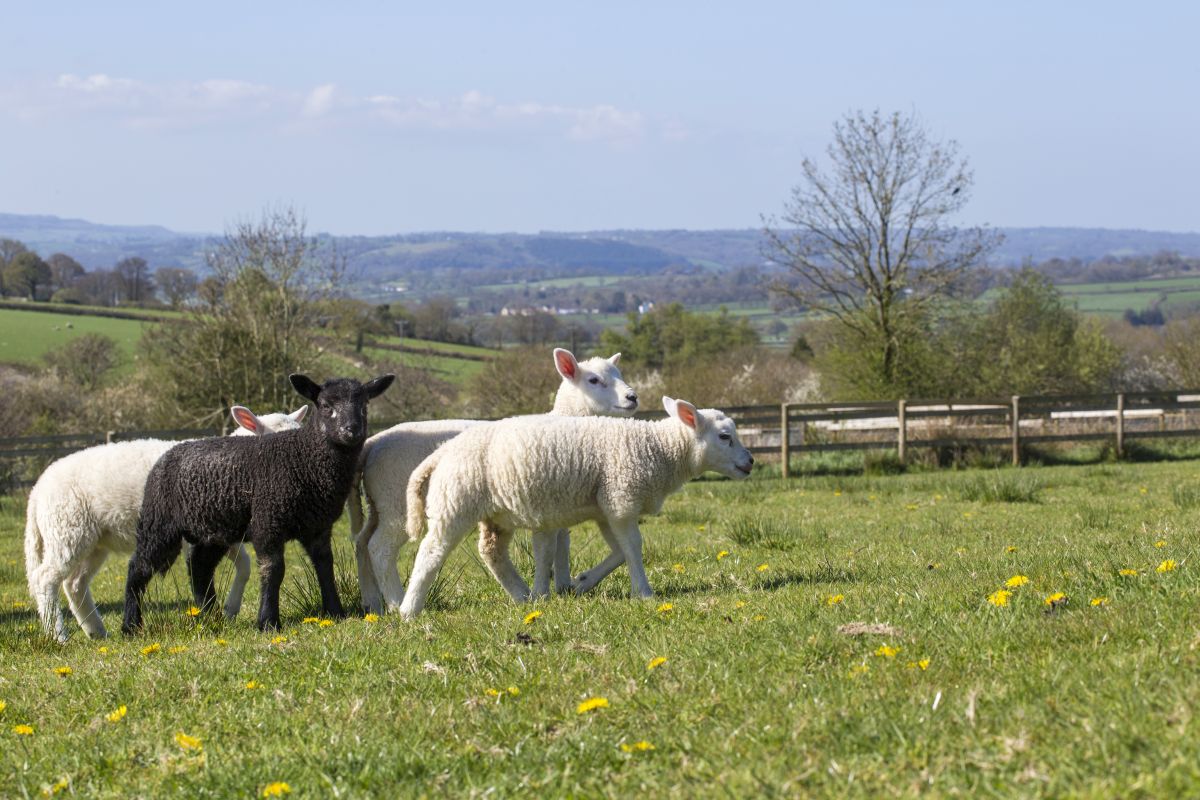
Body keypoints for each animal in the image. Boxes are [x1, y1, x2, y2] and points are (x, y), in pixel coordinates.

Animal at [24, 402, 307, 642]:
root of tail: (37, 491)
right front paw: (221, 611)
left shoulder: (222, 529)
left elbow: (245, 565)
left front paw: (230, 608)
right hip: (68, 530)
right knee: (45, 579)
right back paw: (59, 636)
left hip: (93, 541)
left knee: (74, 584)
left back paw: (96, 631)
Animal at [123, 371, 393, 633]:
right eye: (326, 405)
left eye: (364, 405)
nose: (351, 430)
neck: (304, 459)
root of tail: (169, 453)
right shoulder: (267, 521)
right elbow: (273, 570)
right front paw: (268, 622)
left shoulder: (319, 527)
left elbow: (325, 566)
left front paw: (335, 612)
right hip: (159, 522)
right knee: (139, 567)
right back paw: (131, 625)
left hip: (214, 530)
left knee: (199, 567)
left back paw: (210, 618)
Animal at [350, 347, 643, 614]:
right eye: (594, 380)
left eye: (619, 374)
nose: (633, 397)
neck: (565, 418)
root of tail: (374, 443)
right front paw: (576, 583)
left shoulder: (561, 500)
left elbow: (564, 542)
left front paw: (565, 585)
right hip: (398, 502)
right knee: (381, 548)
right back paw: (397, 602)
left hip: (380, 503)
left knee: (362, 543)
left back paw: (372, 602)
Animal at [403, 398, 758, 618]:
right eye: (724, 436)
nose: (751, 462)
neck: (659, 450)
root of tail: (441, 453)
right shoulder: (621, 497)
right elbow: (633, 547)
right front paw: (643, 592)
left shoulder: (608, 505)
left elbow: (619, 551)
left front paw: (583, 582)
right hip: (455, 503)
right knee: (430, 552)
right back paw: (409, 609)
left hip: (495, 513)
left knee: (492, 552)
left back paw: (524, 596)